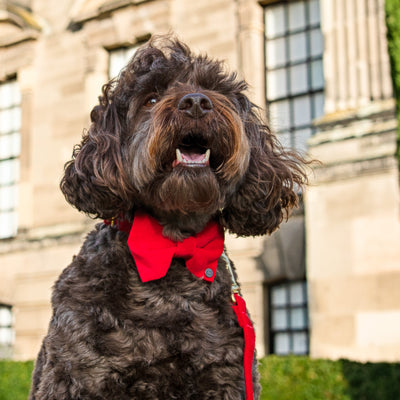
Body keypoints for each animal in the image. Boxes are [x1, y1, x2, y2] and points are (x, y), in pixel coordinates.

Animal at [29, 35, 308, 400]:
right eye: (151, 98)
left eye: (212, 88)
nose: (196, 103)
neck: (174, 246)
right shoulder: (74, 375)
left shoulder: (228, 376)